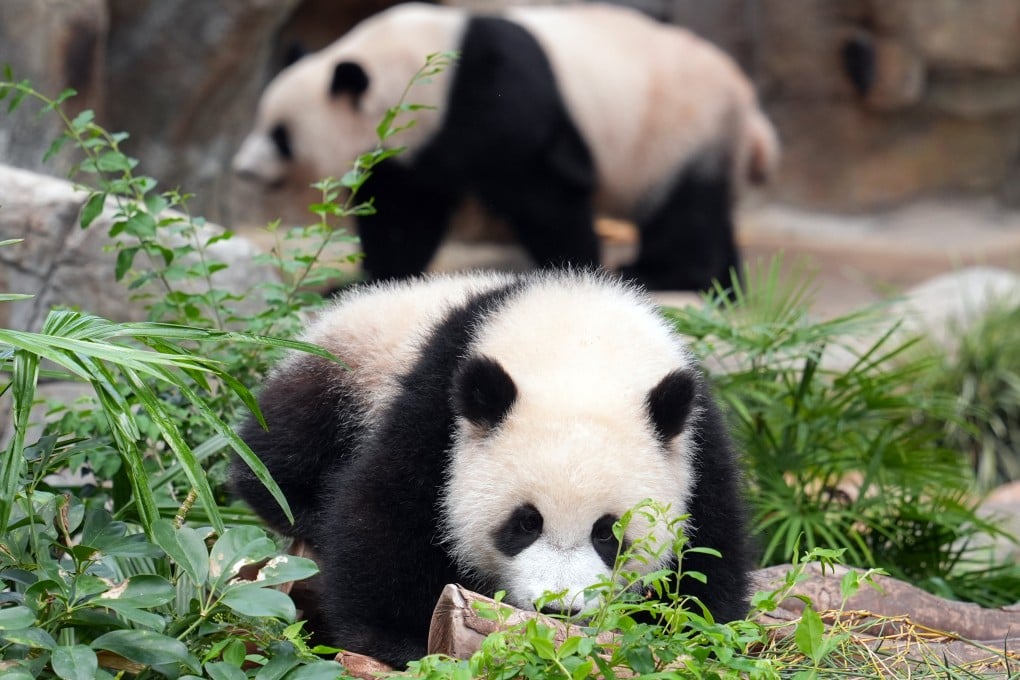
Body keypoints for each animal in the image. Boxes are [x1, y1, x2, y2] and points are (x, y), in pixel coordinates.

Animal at [231, 269, 753, 667]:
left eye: (608, 533)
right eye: (525, 522)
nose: (557, 608)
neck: (582, 349)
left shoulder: (696, 442)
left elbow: (708, 557)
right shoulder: (438, 405)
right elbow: (382, 514)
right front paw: (399, 640)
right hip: (348, 364)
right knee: (278, 446)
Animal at [232, 2, 779, 292]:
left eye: (280, 136)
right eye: (259, 121)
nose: (242, 169)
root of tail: (748, 105)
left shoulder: (491, 97)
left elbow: (542, 193)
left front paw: (576, 271)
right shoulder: (415, 148)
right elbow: (403, 214)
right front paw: (366, 280)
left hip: (683, 128)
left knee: (683, 207)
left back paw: (666, 273)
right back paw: (726, 285)